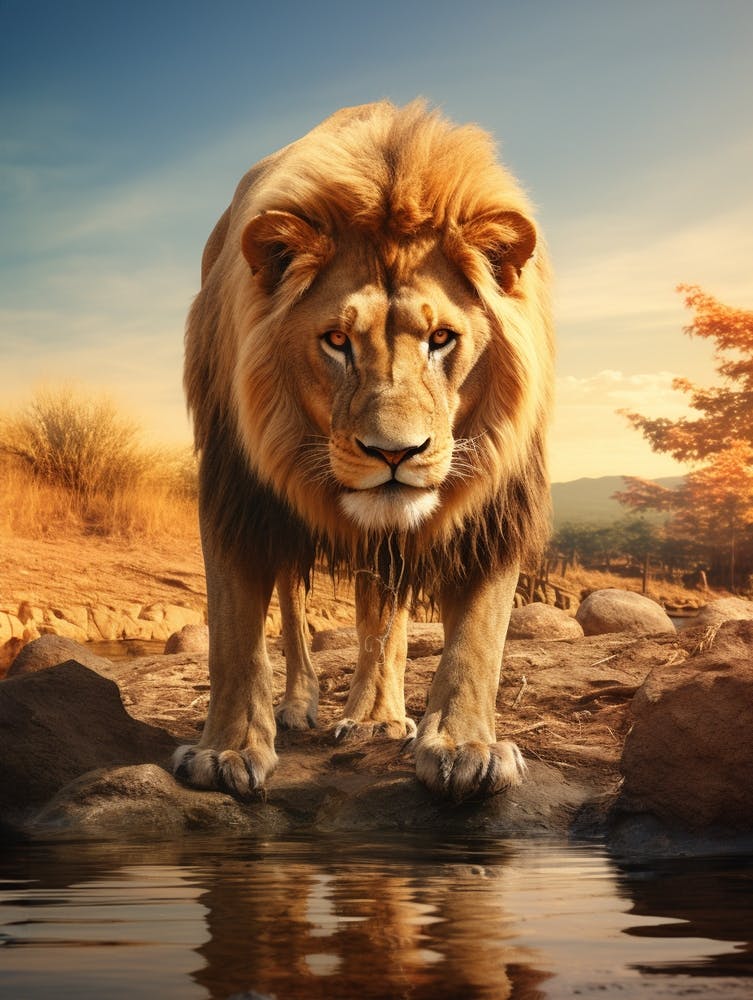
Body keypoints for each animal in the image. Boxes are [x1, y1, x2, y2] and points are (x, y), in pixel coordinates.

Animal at [174, 100, 553, 803]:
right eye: (336, 341)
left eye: (441, 338)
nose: (394, 453)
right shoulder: (237, 492)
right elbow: (234, 636)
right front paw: (226, 752)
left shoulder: (497, 508)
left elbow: (478, 638)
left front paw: (464, 745)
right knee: (293, 605)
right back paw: (301, 706)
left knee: (384, 611)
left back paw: (377, 717)